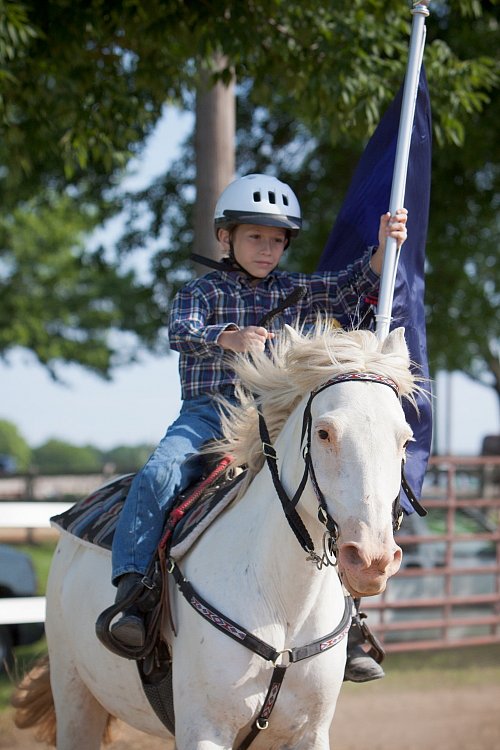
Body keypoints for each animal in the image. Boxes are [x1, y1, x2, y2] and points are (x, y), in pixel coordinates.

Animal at [13, 324, 418, 750]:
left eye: (405, 440)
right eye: (324, 432)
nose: (372, 559)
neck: (283, 601)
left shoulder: (310, 733)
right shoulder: (205, 731)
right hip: (74, 694)